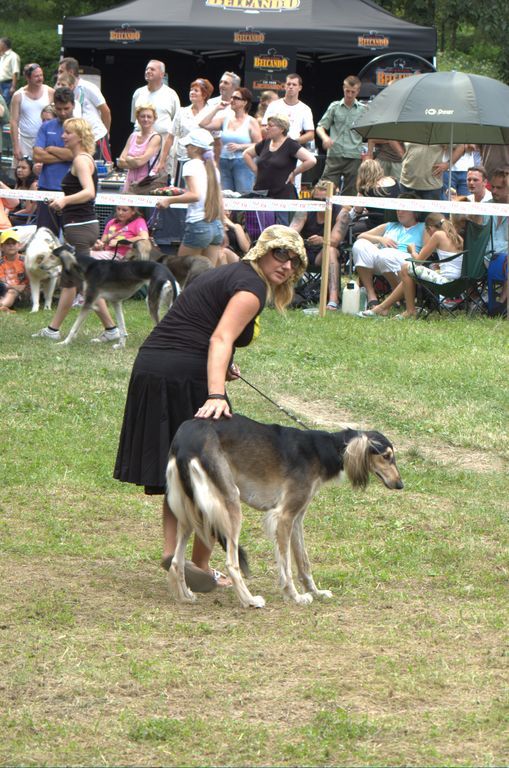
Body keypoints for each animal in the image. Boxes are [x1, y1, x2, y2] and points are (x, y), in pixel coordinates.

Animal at [165, 416, 402, 608]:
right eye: (386, 456)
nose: (400, 485)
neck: (321, 450)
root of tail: (184, 440)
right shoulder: (284, 516)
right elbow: (286, 565)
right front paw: (295, 596)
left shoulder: (297, 518)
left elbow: (304, 562)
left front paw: (315, 592)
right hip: (229, 502)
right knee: (231, 563)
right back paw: (249, 600)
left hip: (191, 510)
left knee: (176, 562)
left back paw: (185, 596)